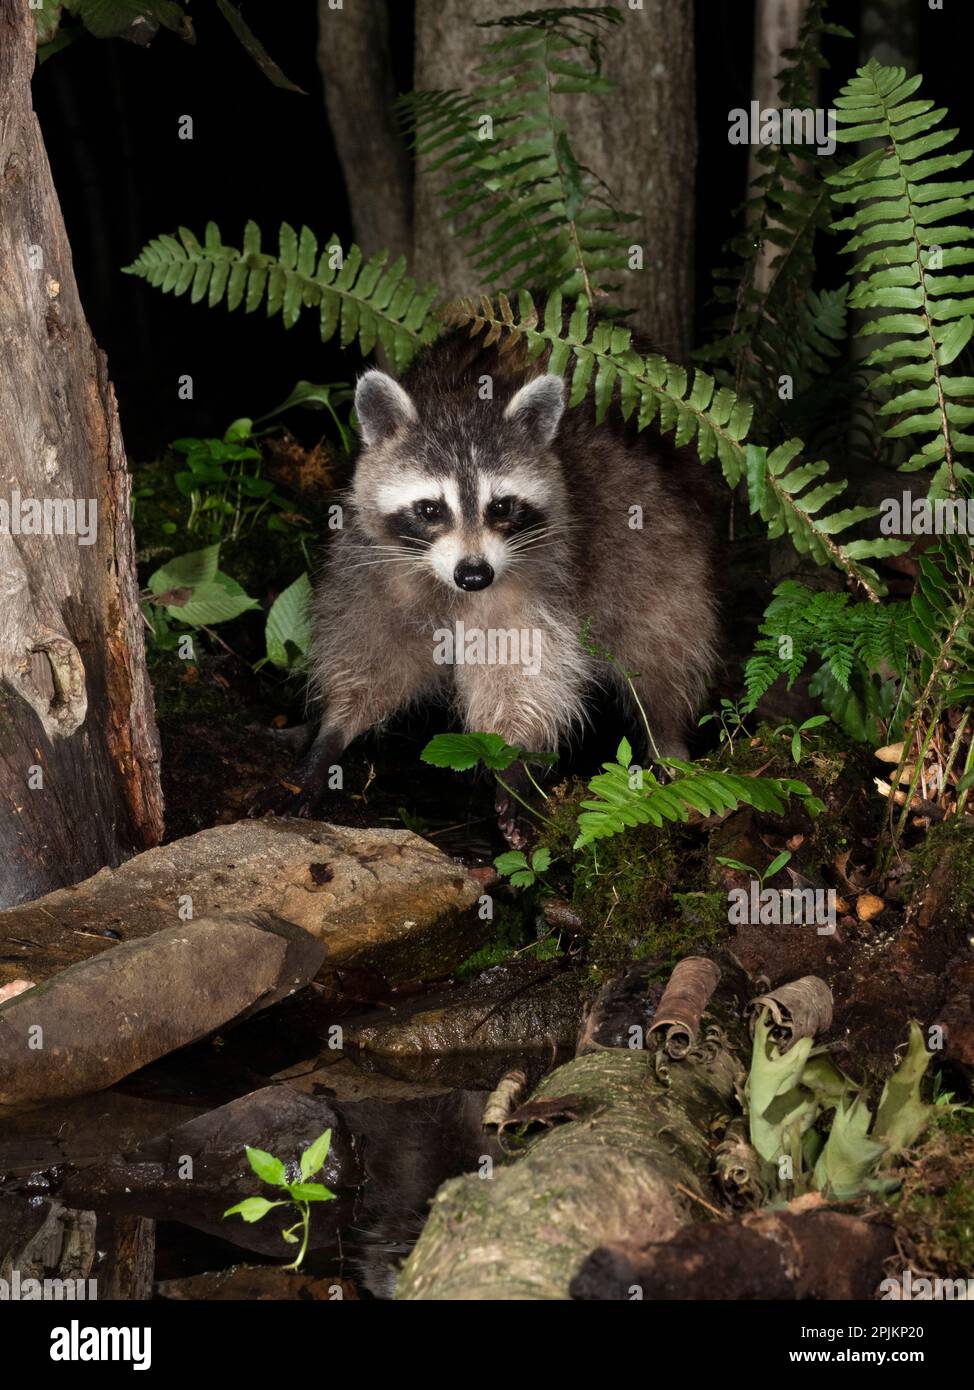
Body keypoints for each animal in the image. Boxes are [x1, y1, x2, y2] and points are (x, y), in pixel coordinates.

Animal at [247, 325, 716, 822]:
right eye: (430, 509)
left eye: (502, 507)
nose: (474, 576)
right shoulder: (370, 563)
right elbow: (369, 652)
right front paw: (330, 733)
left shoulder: (541, 571)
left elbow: (524, 664)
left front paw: (514, 759)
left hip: (657, 541)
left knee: (662, 639)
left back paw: (667, 737)